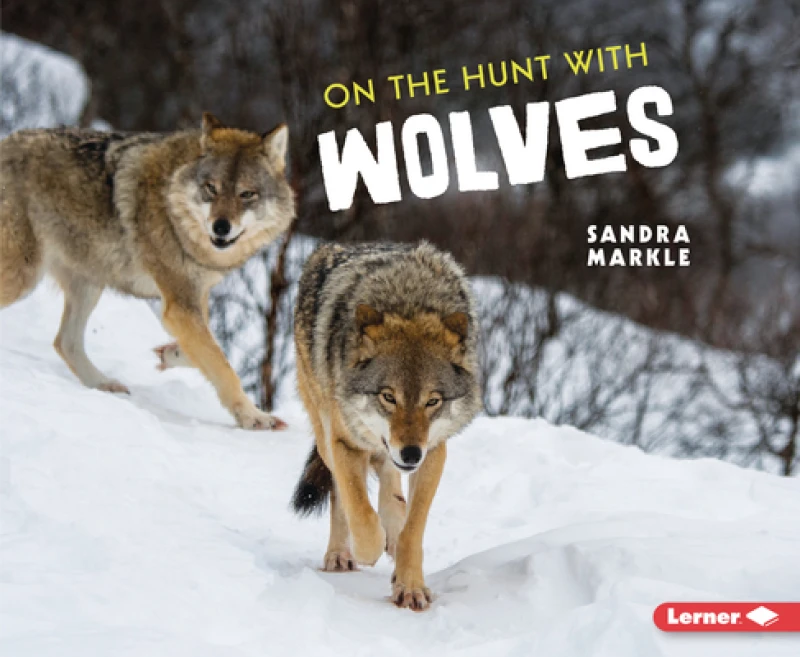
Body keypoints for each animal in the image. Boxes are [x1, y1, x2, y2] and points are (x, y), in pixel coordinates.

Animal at [0, 113, 294, 429]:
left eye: (247, 194)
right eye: (211, 188)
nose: (221, 227)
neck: (172, 205)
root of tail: (6, 141)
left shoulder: (190, 298)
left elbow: (207, 351)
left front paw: (170, 354)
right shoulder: (179, 305)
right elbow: (223, 366)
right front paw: (254, 417)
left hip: (89, 284)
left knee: (64, 342)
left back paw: (103, 384)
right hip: (24, 276)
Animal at [291, 242, 482, 610]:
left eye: (432, 401)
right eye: (388, 397)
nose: (410, 454)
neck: (407, 298)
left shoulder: (433, 451)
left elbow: (412, 530)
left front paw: (410, 585)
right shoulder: (346, 444)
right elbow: (361, 517)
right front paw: (370, 545)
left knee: (389, 482)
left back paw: (392, 522)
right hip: (326, 437)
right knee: (340, 493)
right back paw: (340, 553)